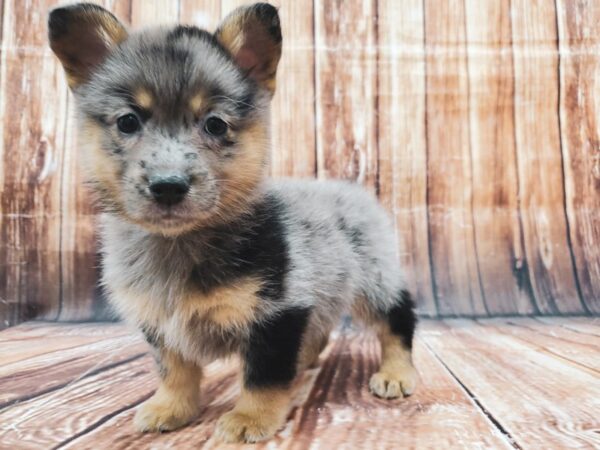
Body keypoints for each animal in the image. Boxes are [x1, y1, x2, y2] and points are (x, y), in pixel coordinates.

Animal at [48, 0, 418, 442]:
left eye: (215, 124)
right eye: (127, 121)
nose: (168, 187)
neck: (180, 245)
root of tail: (354, 191)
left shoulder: (277, 314)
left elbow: (263, 377)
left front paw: (249, 419)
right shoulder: (160, 323)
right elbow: (174, 371)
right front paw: (171, 408)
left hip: (375, 279)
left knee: (397, 319)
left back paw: (396, 374)